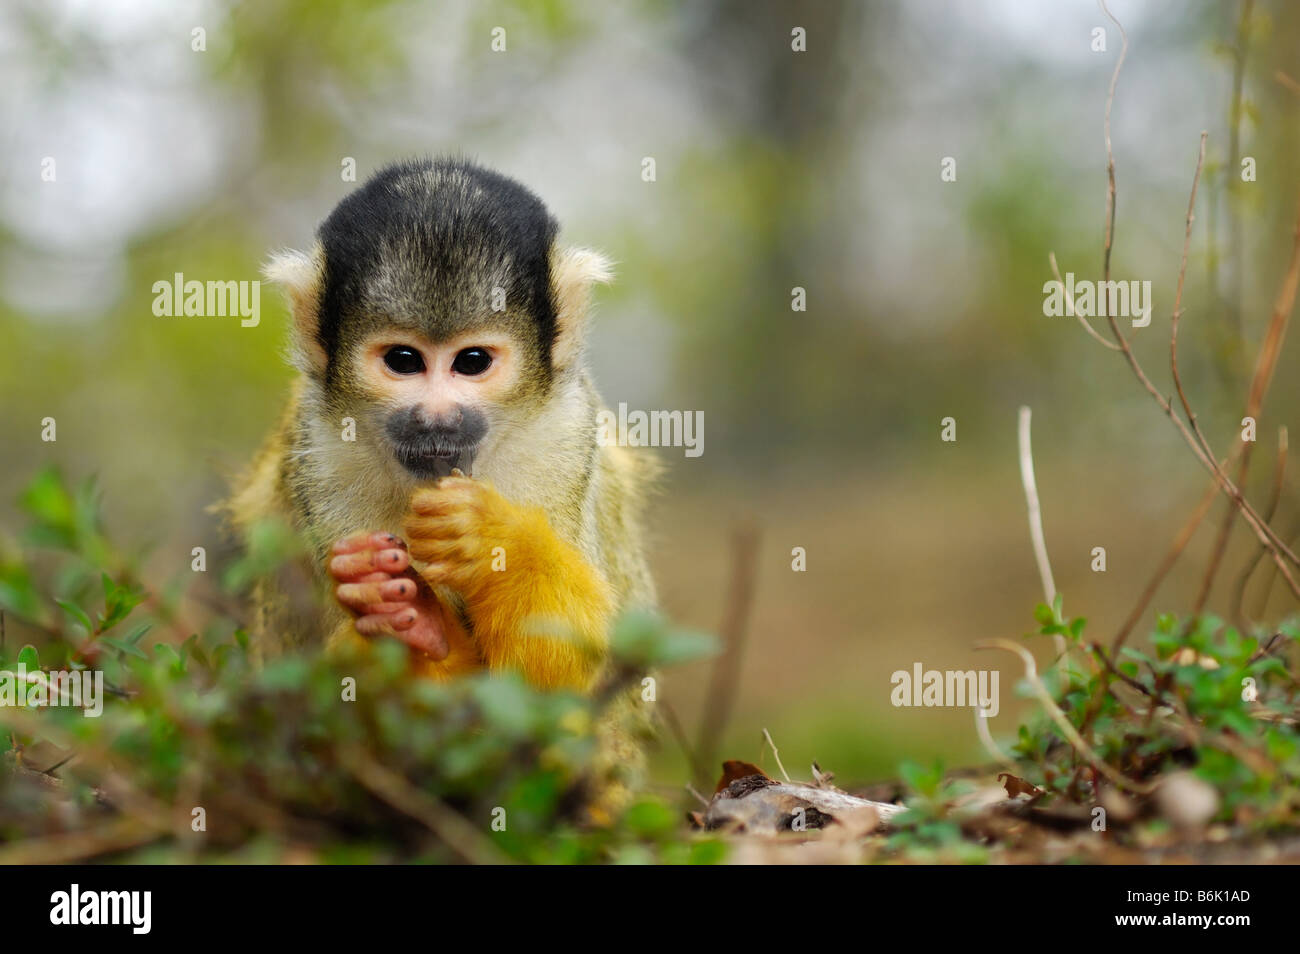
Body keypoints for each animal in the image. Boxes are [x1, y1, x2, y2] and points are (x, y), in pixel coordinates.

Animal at [226, 158, 660, 701]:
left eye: (471, 361)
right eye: (404, 360)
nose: (436, 418)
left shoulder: (563, 436)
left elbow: (547, 682)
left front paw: (492, 542)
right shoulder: (321, 453)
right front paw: (413, 622)